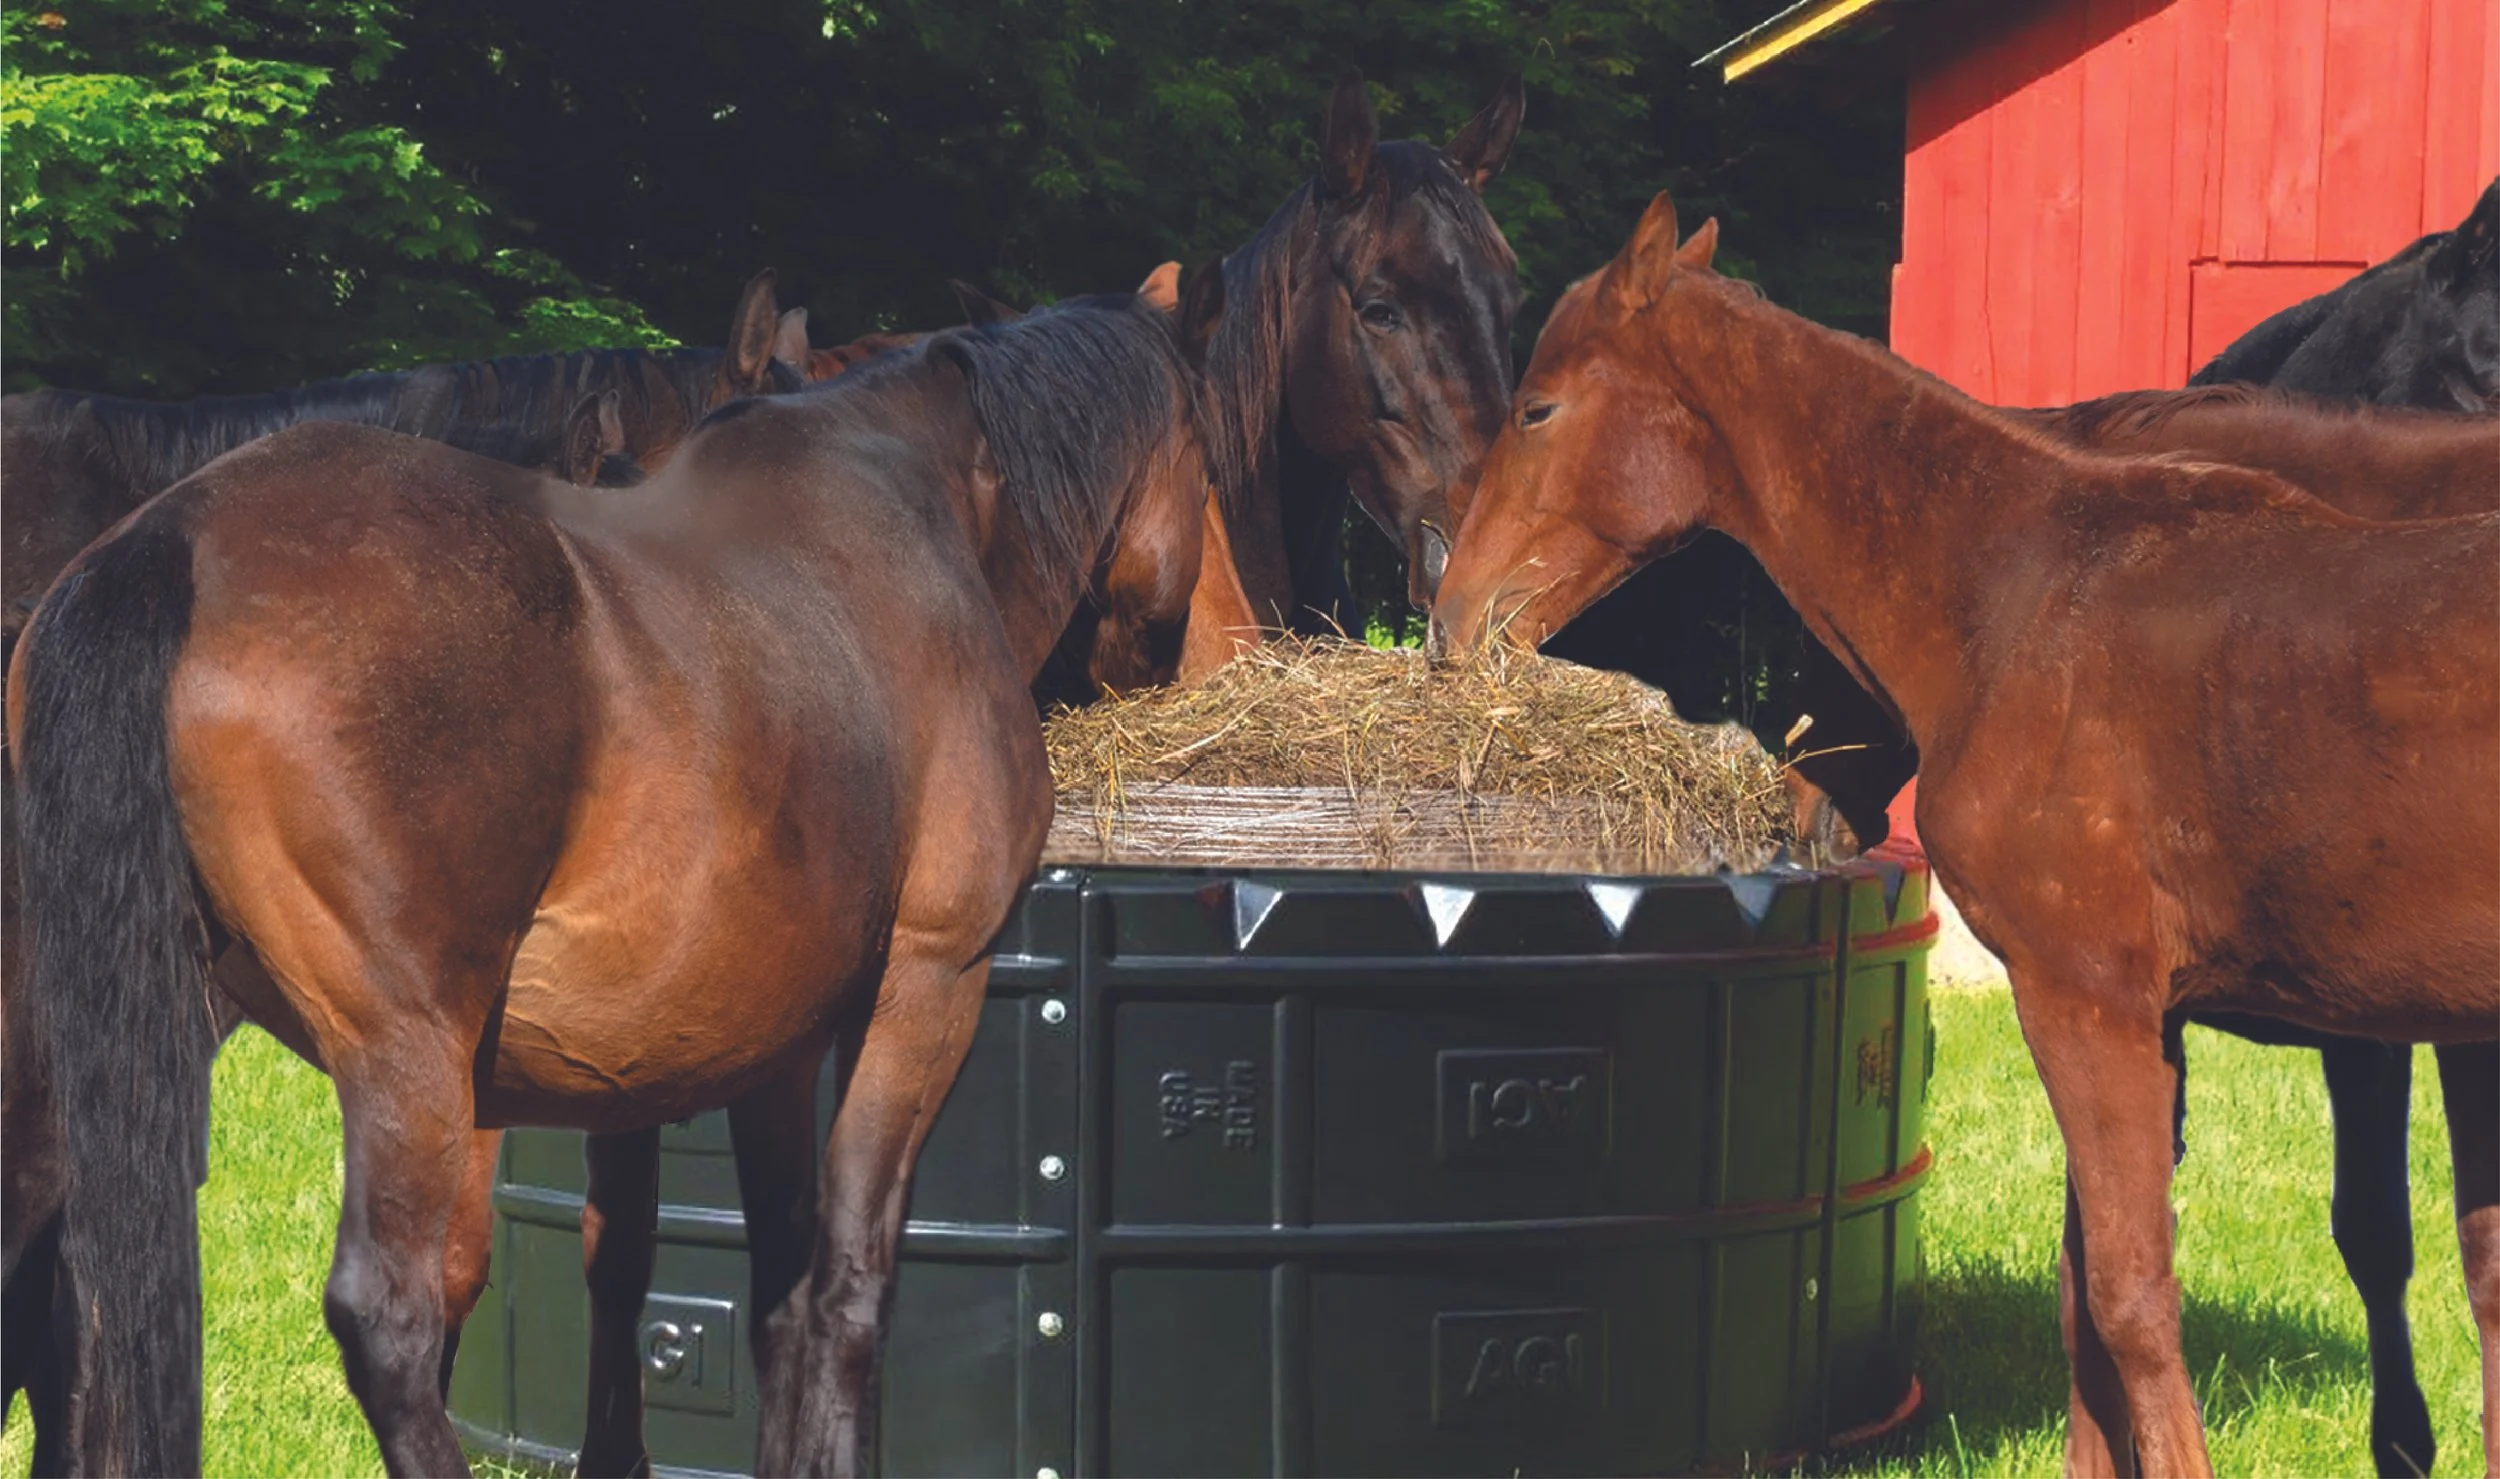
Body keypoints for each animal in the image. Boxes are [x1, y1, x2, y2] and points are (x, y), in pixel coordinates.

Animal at [8, 276, 1237, 1478]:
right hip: (403, 1053)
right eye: (1206, 458)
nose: (1203, 648)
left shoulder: (766, 1047)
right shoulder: (928, 985)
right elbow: (848, 1283)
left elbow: (768, 1290)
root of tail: (173, 540)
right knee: (383, 1313)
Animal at [1432, 191, 2500, 1478]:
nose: (1447, 621)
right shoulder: (2152, 1020)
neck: (2019, 587)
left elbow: (2130, 1296)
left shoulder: (2086, 1000)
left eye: (1537, 408)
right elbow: (2090, 1292)